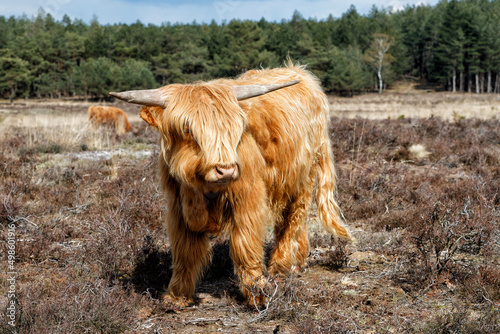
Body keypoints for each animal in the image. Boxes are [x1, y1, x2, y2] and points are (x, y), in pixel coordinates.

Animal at [110, 60, 352, 308]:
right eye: (187, 129)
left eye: (235, 127)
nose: (225, 169)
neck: (203, 188)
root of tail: (300, 72)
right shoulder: (178, 205)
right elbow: (184, 252)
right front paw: (177, 296)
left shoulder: (248, 198)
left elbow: (245, 245)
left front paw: (257, 293)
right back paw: (298, 261)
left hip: (304, 177)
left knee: (293, 219)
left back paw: (281, 268)